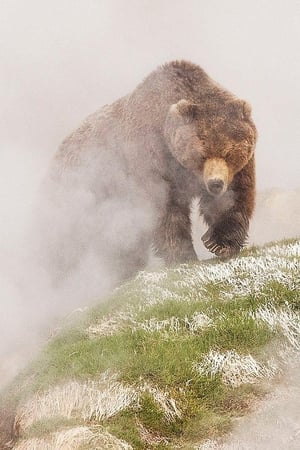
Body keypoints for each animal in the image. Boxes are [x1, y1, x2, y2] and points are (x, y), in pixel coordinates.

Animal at [43, 60, 256, 284]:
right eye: (202, 153)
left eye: (228, 153)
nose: (215, 184)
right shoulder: (150, 159)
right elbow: (165, 211)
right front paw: (184, 256)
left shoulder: (237, 170)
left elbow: (236, 198)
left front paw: (220, 243)